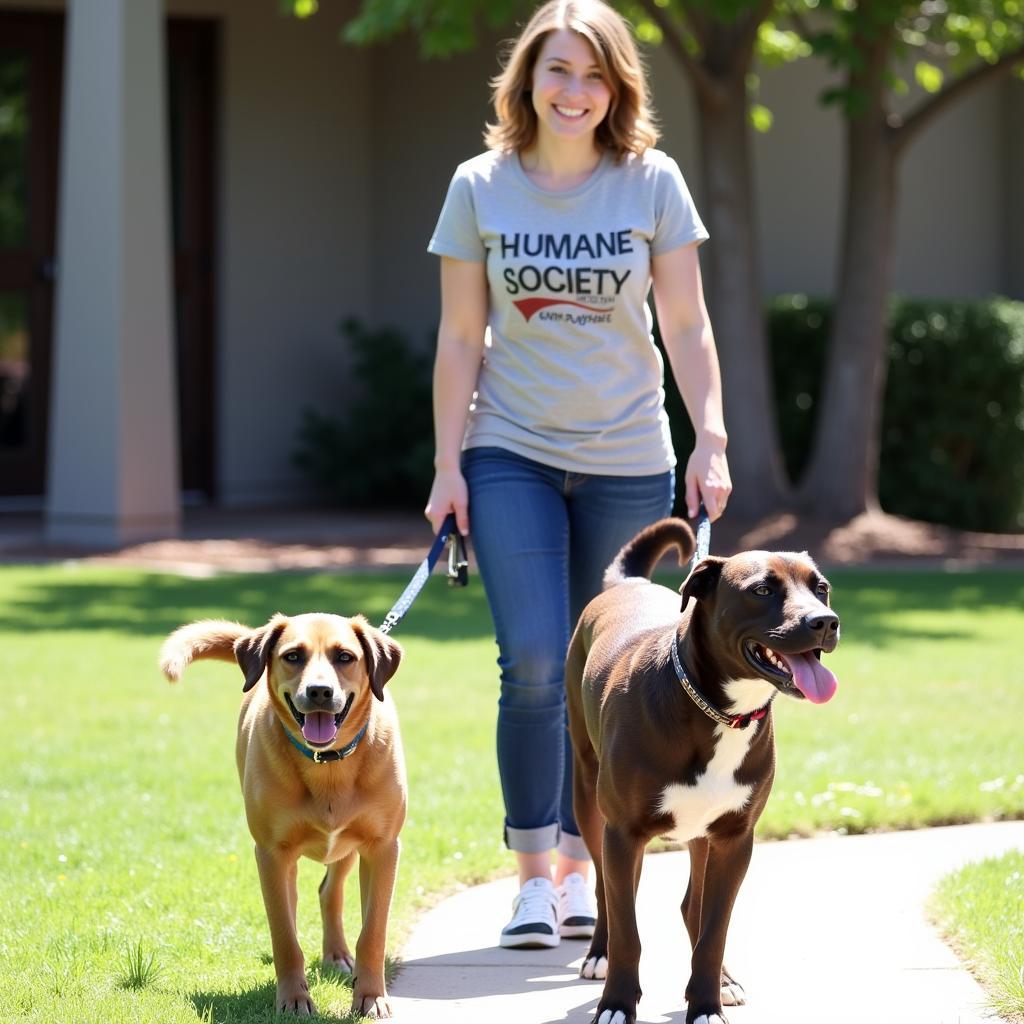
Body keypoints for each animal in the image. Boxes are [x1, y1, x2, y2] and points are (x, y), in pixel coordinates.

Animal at [159, 610, 403, 1019]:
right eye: (293, 656)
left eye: (345, 657)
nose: (319, 692)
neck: (327, 765)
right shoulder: (272, 854)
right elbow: (285, 936)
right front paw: (294, 999)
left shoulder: (382, 847)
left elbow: (373, 932)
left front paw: (371, 996)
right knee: (299, 900)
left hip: (349, 846)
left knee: (330, 890)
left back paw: (338, 956)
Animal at [569, 520, 839, 1024]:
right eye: (762, 590)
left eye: (821, 588)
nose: (825, 622)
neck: (718, 710)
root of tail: (628, 584)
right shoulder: (623, 833)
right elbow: (627, 926)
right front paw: (617, 1003)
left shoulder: (735, 839)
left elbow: (714, 929)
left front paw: (707, 1003)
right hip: (587, 795)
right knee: (605, 890)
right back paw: (598, 953)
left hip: (700, 832)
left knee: (690, 906)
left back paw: (724, 980)